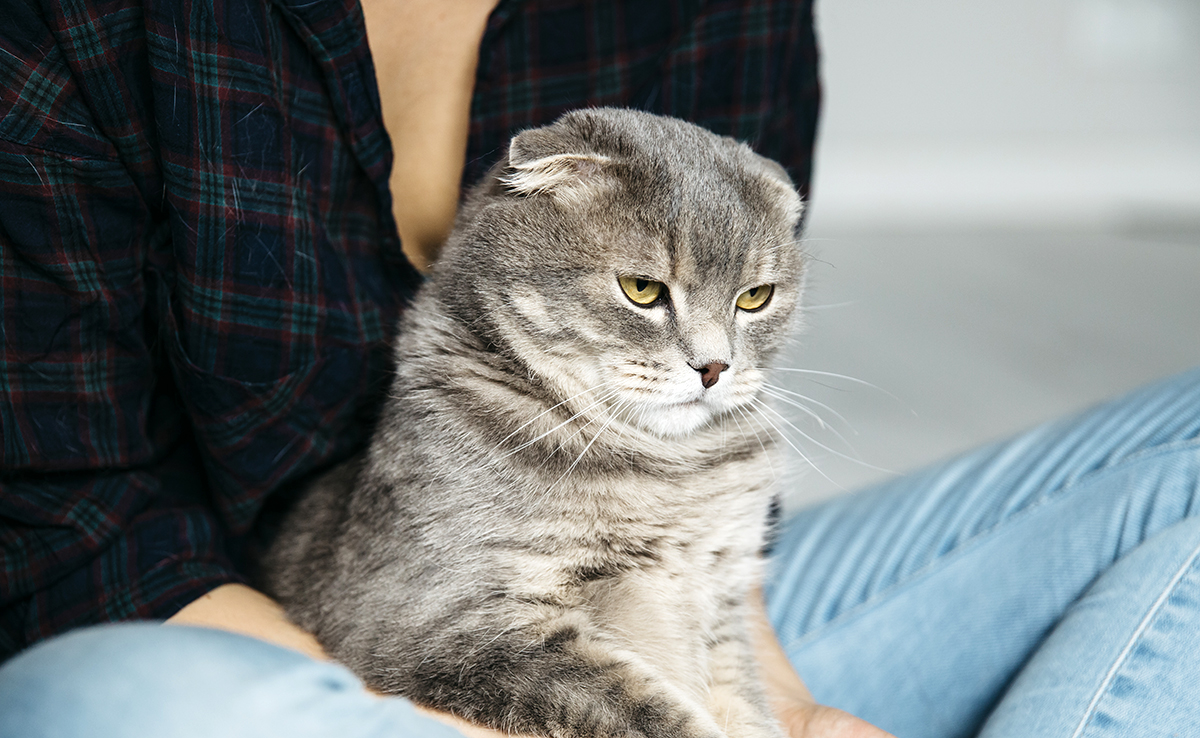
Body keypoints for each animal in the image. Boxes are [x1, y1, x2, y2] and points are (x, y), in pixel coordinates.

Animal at [262, 106, 806, 738]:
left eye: (756, 297)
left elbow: (745, 708)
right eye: (642, 289)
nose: (715, 367)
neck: (670, 473)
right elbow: (650, 710)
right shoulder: (447, 626)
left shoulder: (721, 609)